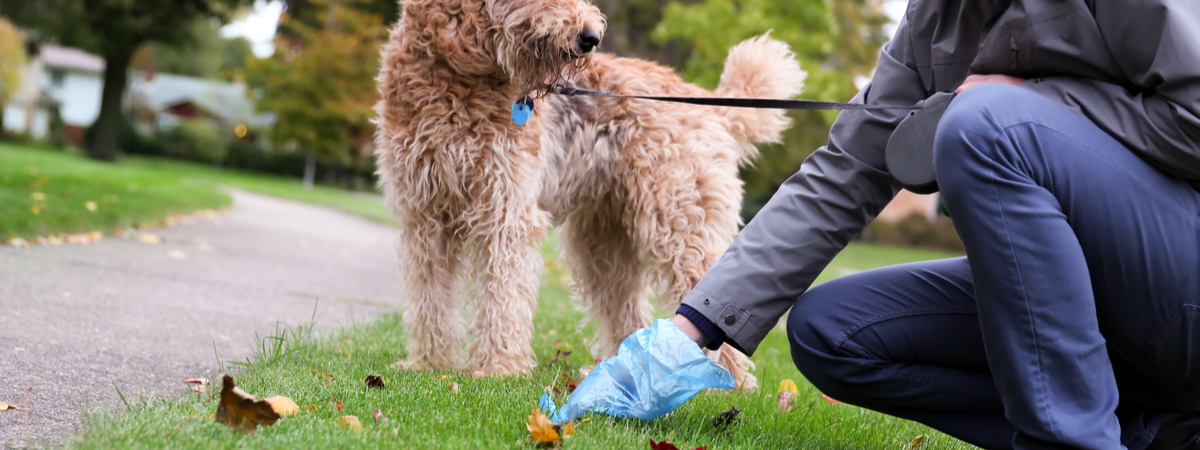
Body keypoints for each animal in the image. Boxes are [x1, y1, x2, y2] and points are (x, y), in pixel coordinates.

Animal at [374, 0, 806, 391]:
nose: (590, 37)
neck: (457, 74)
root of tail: (712, 107)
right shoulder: (425, 214)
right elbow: (430, 296)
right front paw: (429, 363)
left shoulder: (506, 211)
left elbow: (502, 295)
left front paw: (499, 368)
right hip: (603, 244)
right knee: (628, 311)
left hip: (679, 224)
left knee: (713, 295)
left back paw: (727, 383)